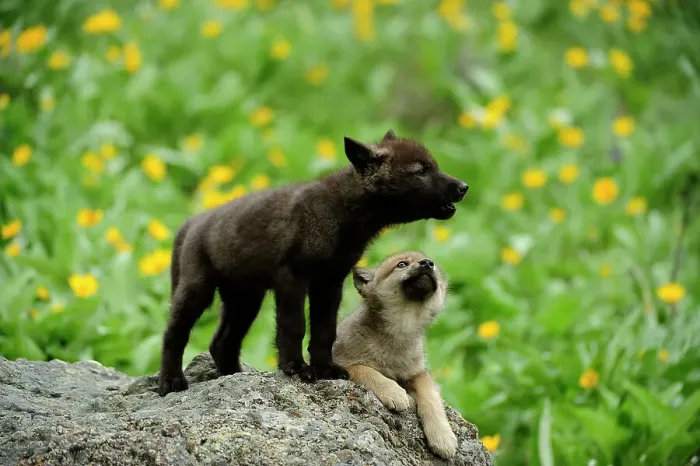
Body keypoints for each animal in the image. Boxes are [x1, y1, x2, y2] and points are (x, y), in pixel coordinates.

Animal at [158, 130, 468, 396]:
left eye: (434, 165)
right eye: (421, 171)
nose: (464, 187)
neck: (342, 214)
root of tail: (190, 223)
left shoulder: (331, 281)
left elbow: (324, 330)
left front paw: (326, 369)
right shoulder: (292, 277)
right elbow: (294, 326)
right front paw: (296, 369)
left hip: (245, 298)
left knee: (221, 343)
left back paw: (234, 376)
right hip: (197, 289)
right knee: (174, 333)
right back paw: (171, 381)